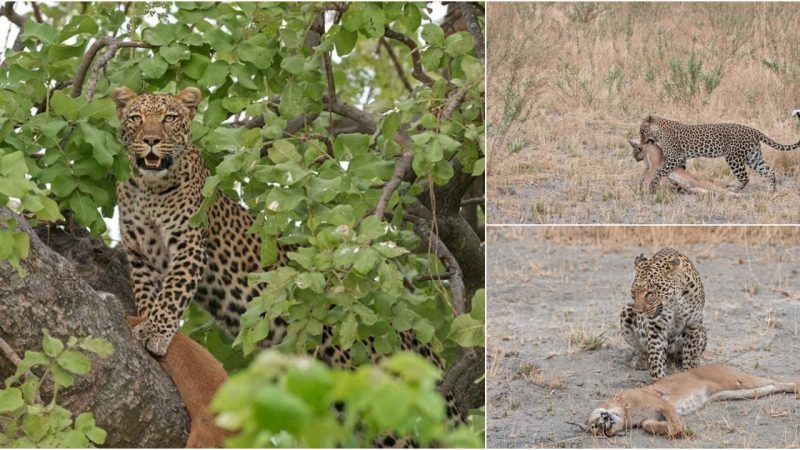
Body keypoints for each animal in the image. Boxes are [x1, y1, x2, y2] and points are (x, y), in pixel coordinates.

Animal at [620, 248, 708, 382]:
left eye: (650, 293)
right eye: (633, 292)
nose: (639, 311)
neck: (674, 300)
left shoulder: (693, 323)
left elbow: (690, 352)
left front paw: (689, 371)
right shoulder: (656, 329)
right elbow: (656, 359)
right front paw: (658, 381)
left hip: (702, 332)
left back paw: (698, 362)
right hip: (626, 311)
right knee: (641, 349)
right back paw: (640, 360)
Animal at [640, 115, 800, 192]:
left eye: (642, 131)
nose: (641, 142)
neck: (660, 132)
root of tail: (753, 130)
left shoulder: (674, 157)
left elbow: (661, 171)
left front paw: (653, 185)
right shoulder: (681, 158)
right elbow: (681, 172)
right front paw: (678, 186)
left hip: (733, 158)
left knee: (745, 177)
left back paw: (735, 189)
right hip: (753, 157)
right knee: (770, 171)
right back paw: (771, 190)